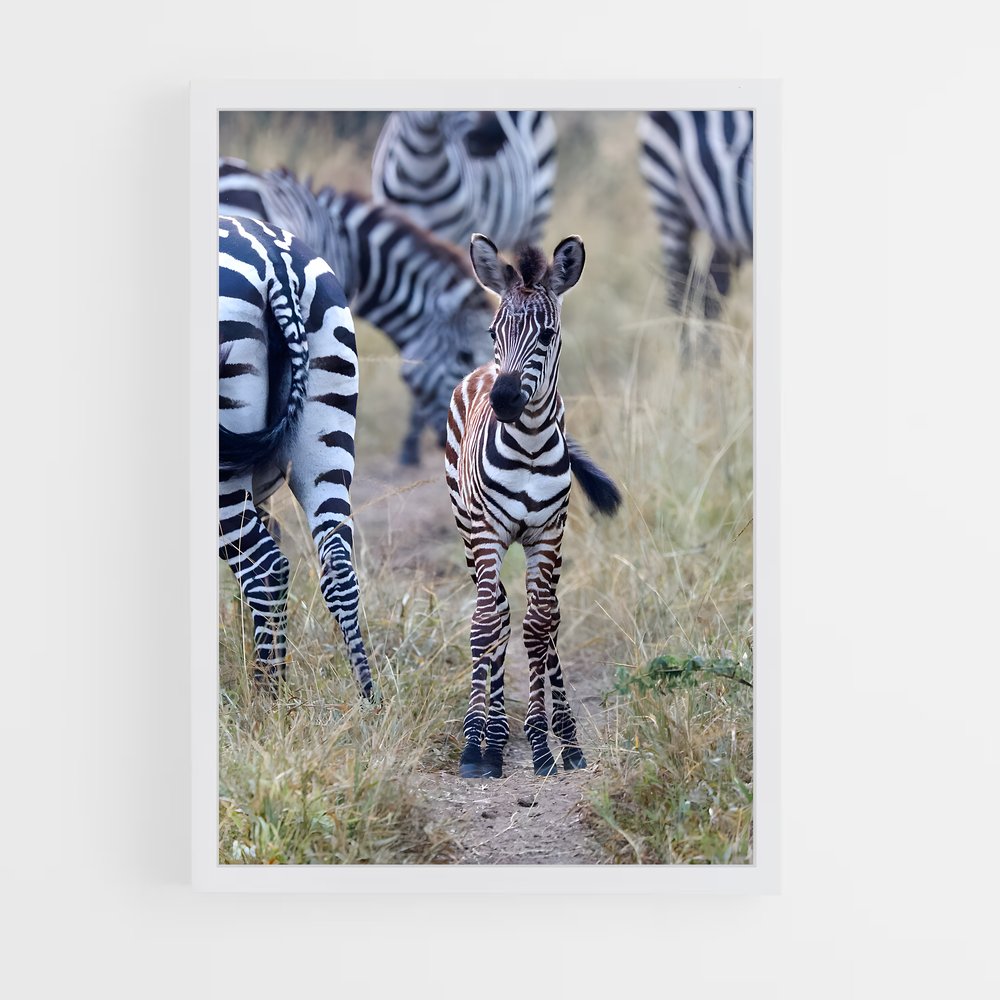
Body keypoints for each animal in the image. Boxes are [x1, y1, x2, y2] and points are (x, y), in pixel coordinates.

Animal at [218, 214, 373, 699]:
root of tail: (274, 260)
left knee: (265, 569)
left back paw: (267, 699)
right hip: (325, 436)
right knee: (338, 565)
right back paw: (366, 699)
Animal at [445, 233, 622, 779]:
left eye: (546, 334)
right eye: (493, 330)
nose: (503, 401)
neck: (526, 446)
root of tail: (484, 371)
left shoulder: (548, 534)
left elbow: (540, 628)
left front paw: (545, 744)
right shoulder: (488, 533)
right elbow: (486, 626)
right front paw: (475, 748)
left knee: (547, 618)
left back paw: (565, 739)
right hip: (467, 531)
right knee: (499, 613)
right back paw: (493, 738)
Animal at [637, 110, 753, 360]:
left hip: (724, 229)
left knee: (711, 294)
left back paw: (711, 365)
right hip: (669, 200)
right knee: (679, 292)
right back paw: (688, 367)